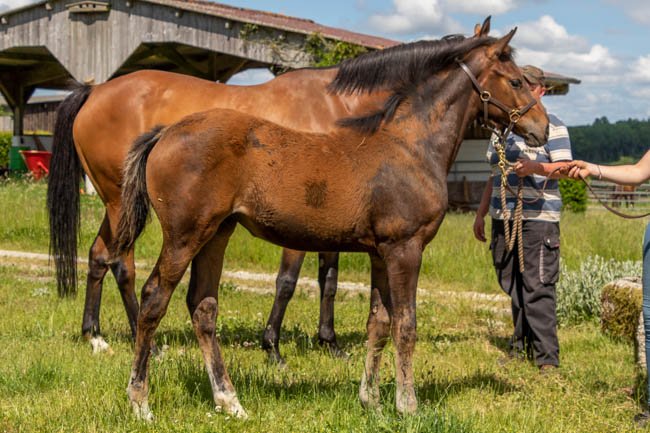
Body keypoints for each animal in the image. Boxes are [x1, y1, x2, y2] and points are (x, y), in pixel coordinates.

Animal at [114, 25, 548, 419]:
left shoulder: (380, 253)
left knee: (203, 306)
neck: (410, 144)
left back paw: (230, 401)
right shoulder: (405, 248)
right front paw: (407, 405)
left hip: (217, 233)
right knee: (154, 299)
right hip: (184, 235)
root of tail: (164, 133)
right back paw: (140, 402)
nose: (541, 128)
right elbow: (405, 324)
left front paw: (371, 400)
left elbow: (379, 322)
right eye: (515, 80)